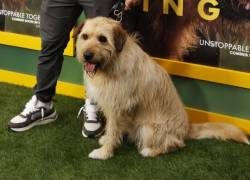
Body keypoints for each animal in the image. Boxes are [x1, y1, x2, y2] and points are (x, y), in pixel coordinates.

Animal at [75, 16, 248, 160]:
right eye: (85, 36)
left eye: (103, 39)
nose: (87, 55)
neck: (112, 61)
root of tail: (187, 128)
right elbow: (114, 129)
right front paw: (108, 140)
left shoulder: (116, 106)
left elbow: (112, 129)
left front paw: (105, 152)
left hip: (148, 129)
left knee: (175, 144)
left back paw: (150, 151)